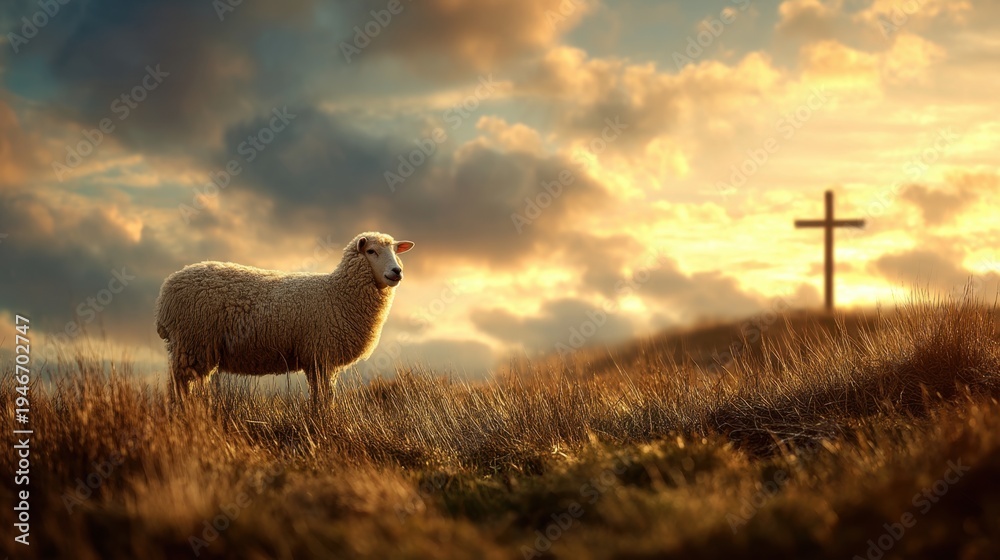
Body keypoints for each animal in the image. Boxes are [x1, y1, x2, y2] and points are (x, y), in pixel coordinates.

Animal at [154, 231, 414, 405]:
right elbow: (325, 397)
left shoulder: (318, 359)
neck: (338, 293)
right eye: (371, 251)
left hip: (191, 347)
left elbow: (321, 396)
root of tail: (164, 295)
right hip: (193, 343)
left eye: (395, 252)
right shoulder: (320, 355)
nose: (396, 272)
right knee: (178, 386)